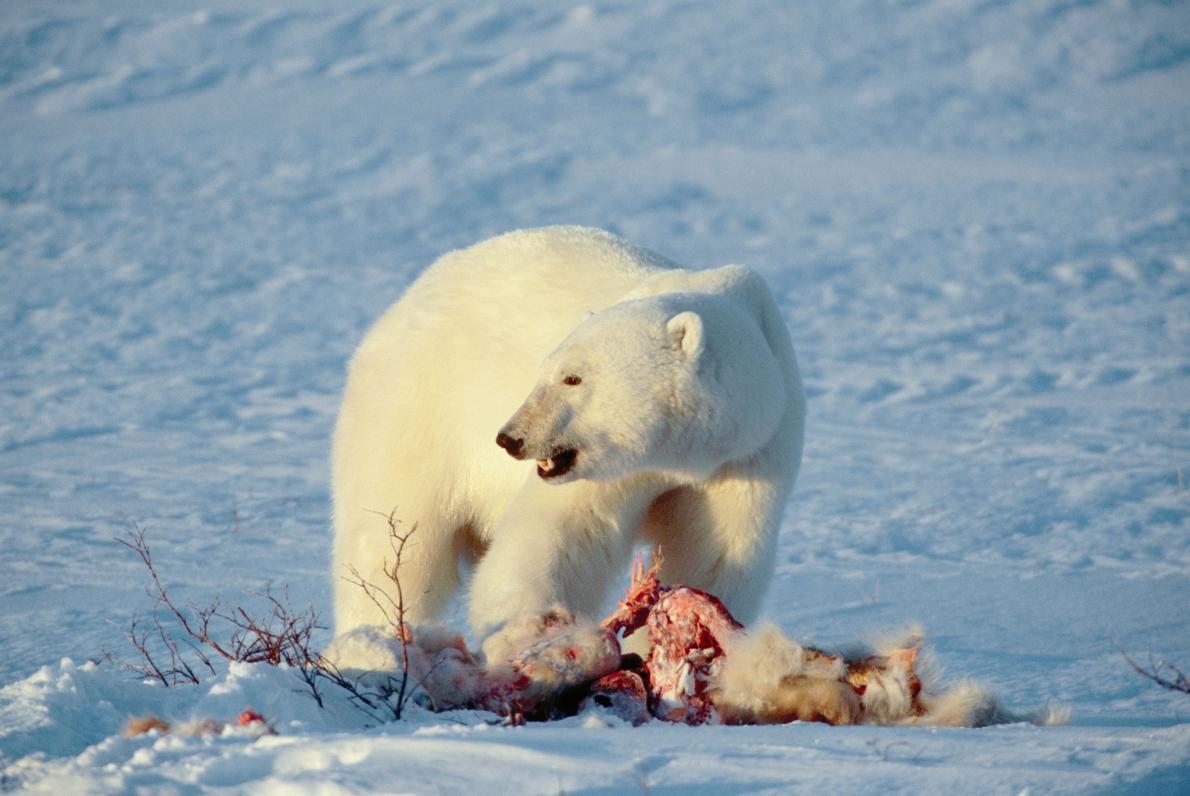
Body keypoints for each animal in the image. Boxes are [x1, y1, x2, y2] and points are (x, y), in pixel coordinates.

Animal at [330, 224, 804, 656]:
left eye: (572, 378)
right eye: (545, 371)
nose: (510, 438)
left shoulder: (752, 455)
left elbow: (713, 556)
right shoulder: (610, 470)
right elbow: (559, 534)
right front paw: (531, 634)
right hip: (417, 407)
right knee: (395, 540)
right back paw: (371, 643)